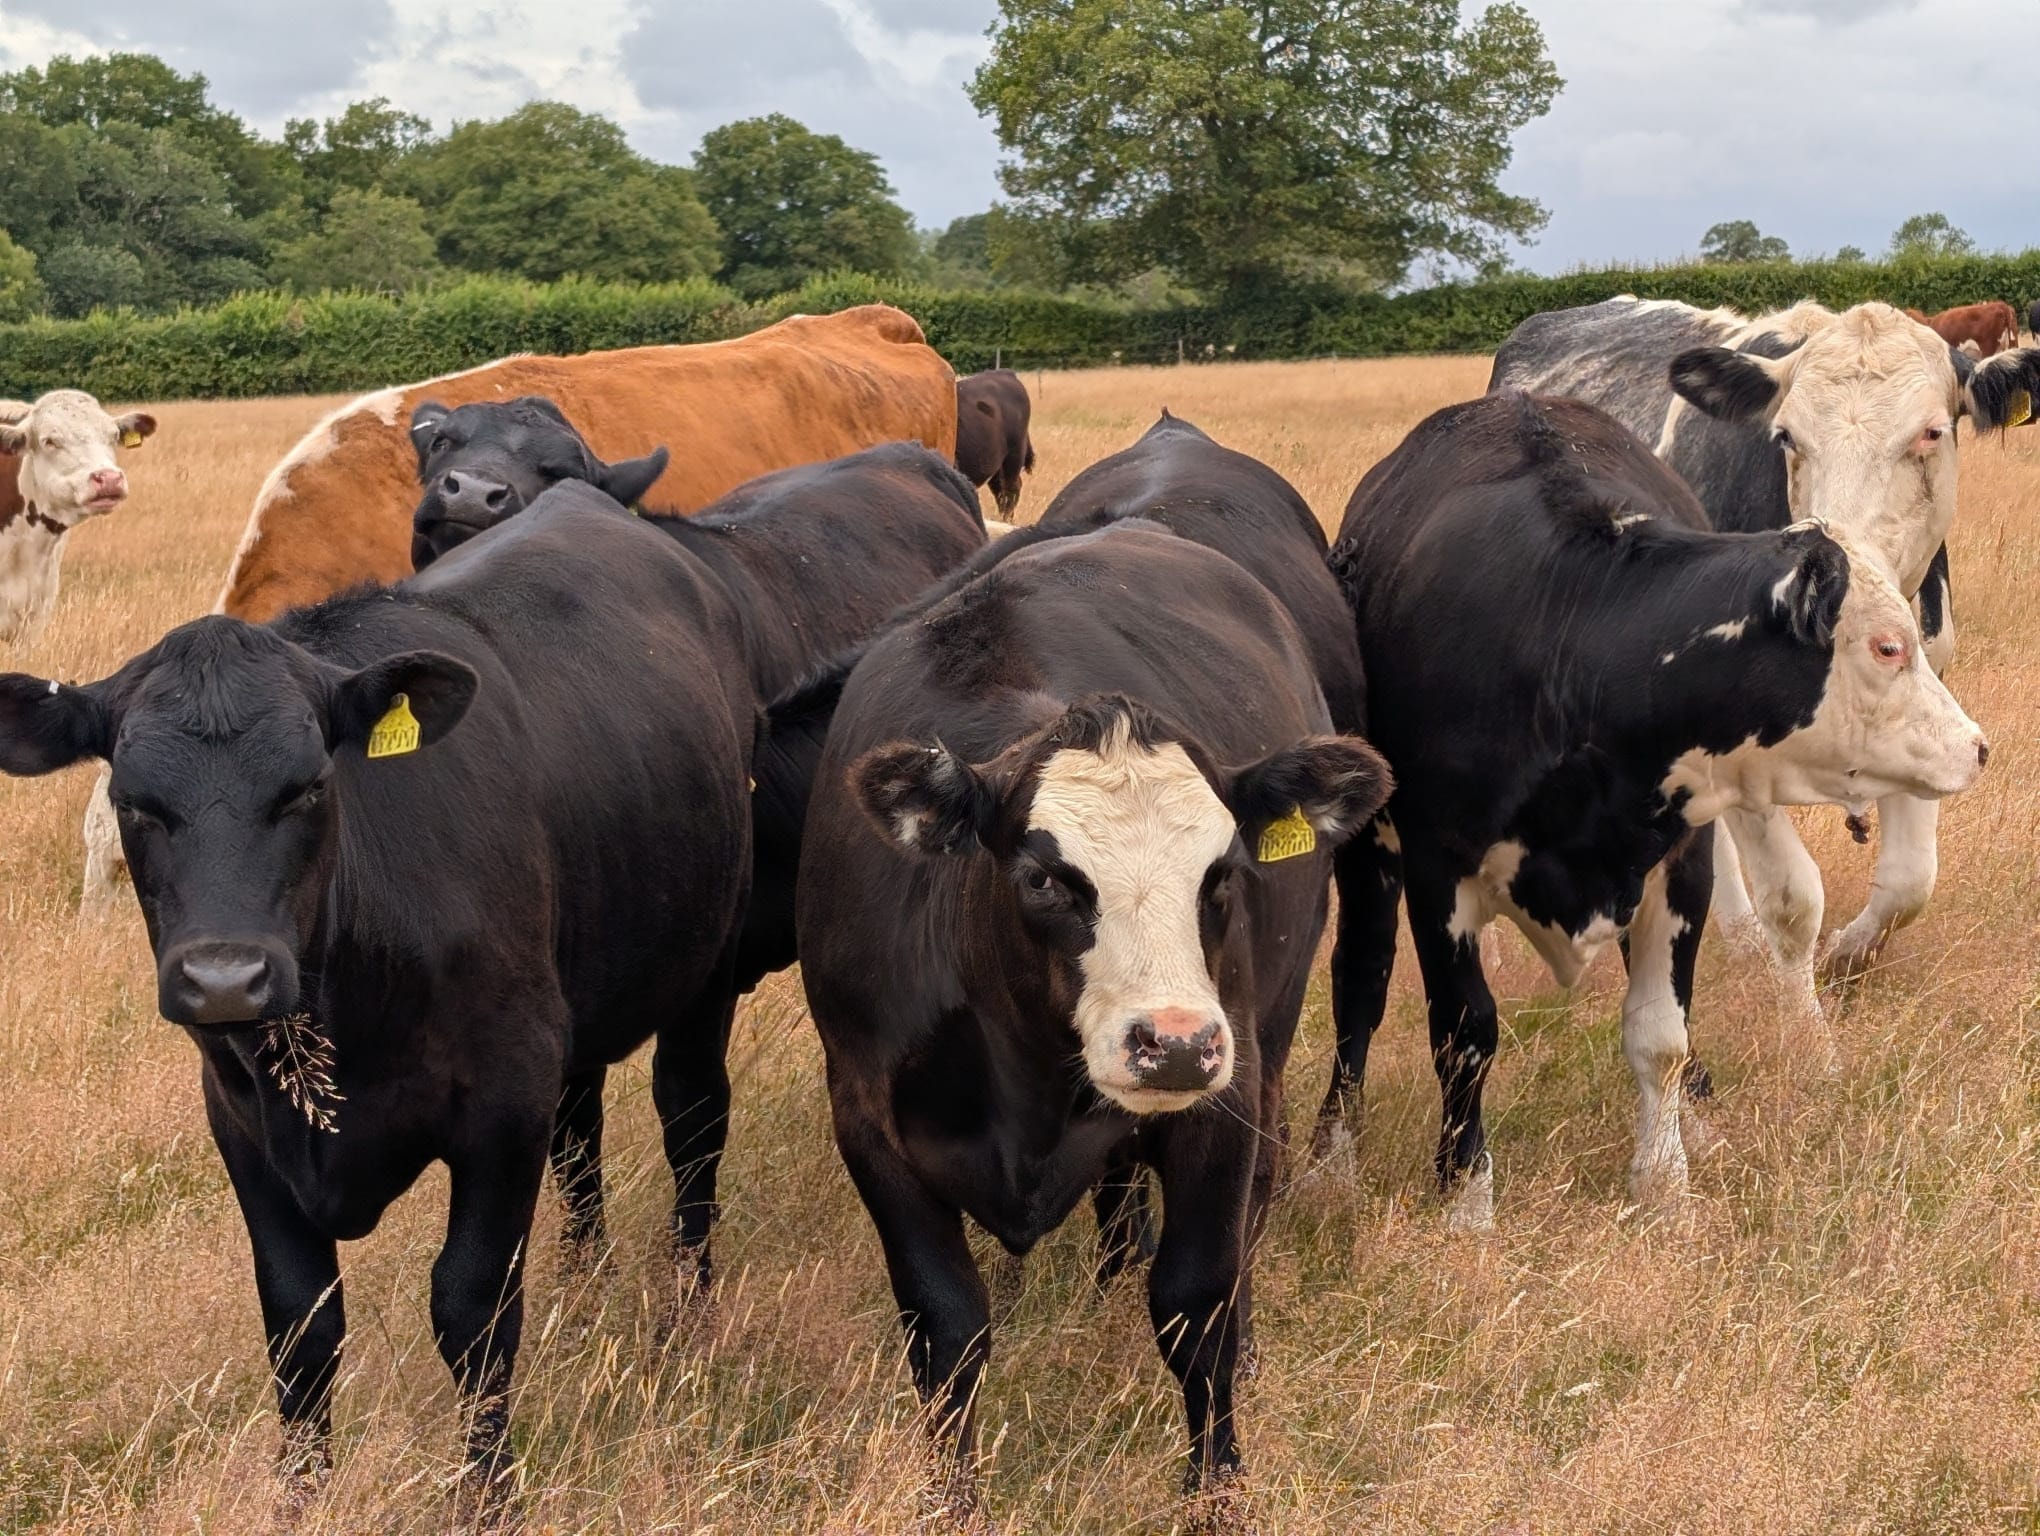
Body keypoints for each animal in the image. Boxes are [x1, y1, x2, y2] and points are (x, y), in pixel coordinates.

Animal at [0, 487, 771, 1508]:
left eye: (308, 787)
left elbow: (473, 1306)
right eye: (133, 801)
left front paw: (488, 1495)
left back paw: (685, 1314)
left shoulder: (502, 1099)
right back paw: (585, 1283)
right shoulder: (241, 1123)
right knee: (582, 1134)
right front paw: (299, 1498)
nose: (224, 977)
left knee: (692, 1122)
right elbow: (299, 1325)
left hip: (706, 961)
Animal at [788, 522, 1390, 1523]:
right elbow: (945, 1327)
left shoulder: (1222, 1103)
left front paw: (1217, 1492)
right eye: (1044, 879)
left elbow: (1198, 1304)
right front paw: (953, 1500)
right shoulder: (866, 1120)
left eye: (1221, 871)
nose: (1175, 1042)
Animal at [1320, 390, 1987, 1229]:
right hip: (1369, 855)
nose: (1976, 746)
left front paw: (1667, 1180)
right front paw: (1466, 1198)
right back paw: (1331, 1158)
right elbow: (1463, 1033)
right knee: (1359, 983)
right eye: (1888, 647)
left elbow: (1659, 1034)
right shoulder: (1439, 874)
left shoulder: (1680, 862)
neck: (1569, 634)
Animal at [1489, 297, 2040, 1013]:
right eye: (1786, 438)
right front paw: (1805, 1029)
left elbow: (1908, 881)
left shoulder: (1927, 692)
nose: (1838, 566)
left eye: (1931, 433)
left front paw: (1848, 957)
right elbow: (1792, 900)